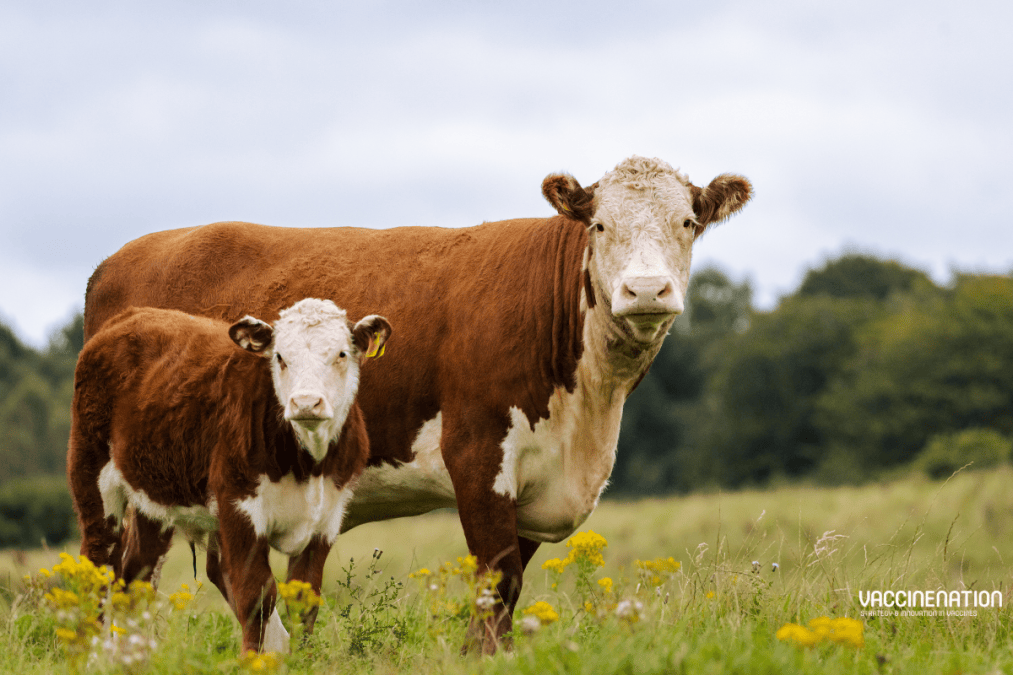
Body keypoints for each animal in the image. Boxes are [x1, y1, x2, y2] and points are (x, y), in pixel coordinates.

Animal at [67, 298, 392, 653]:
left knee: (135, 576)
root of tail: (133, 314)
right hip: (92, 477)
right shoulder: (239, 508)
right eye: (280, 357)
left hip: (153, 497)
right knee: (96, 565)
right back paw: (86, 654)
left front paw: (301, 659)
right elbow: (256, 596)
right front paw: (253, 659)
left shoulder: (326, 519)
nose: (306, 402)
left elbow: (304, 600)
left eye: (341, 354)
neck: (308, 464)